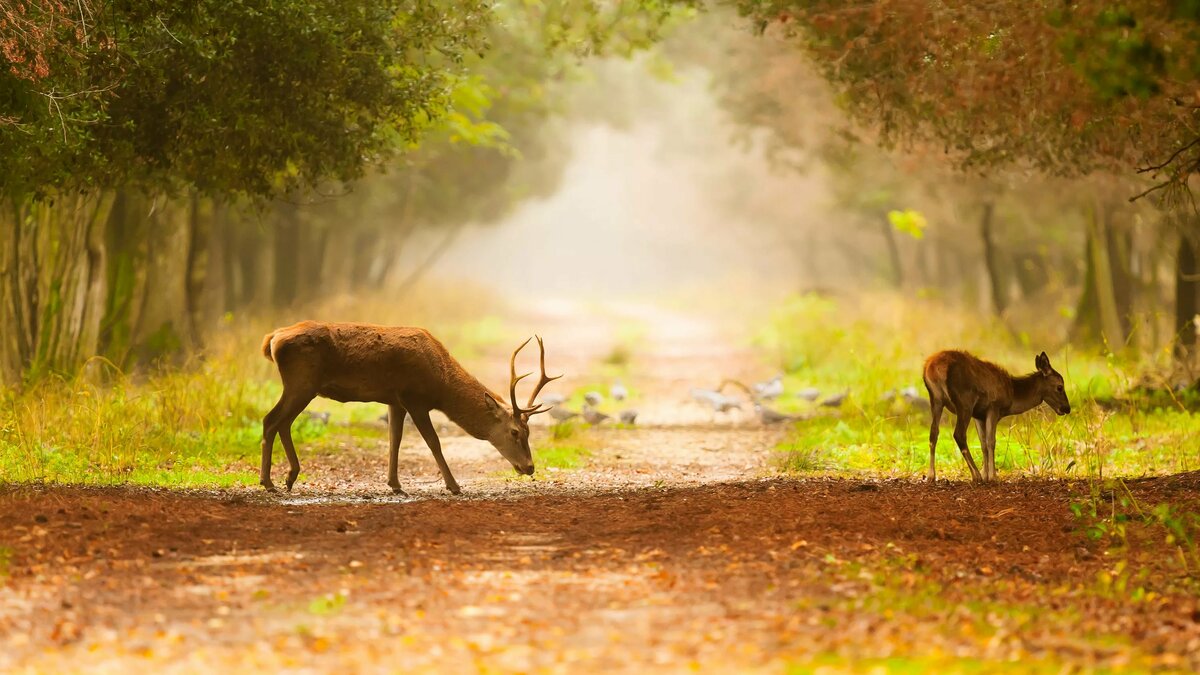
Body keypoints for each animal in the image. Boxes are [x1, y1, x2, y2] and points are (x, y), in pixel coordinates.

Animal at [259, 321, 560, 496]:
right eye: (515, 432)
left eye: (530, 432)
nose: (529, 467)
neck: (441, 384)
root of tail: (272, 338)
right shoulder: (414, 398)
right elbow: (433, 442)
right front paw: (454, 486)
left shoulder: (395, 400)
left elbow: (395, 439)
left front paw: (395, 485)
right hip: (302, 381)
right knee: (271, 420)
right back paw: (269, 482)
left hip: (301, 385)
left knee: (281, 422)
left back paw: (289, 478)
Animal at [924, 350, 1071, 484]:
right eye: (1060, 387)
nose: (1067, 408)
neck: (1012, 394)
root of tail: (933, 368)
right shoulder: (993, 407)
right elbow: (991, 442)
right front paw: (992, 476)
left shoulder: (978, 415)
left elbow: (983, 444)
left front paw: (986, 474)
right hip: (965, 401)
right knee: (959, 434)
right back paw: (975, 475)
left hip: (936, 399)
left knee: (933, 433)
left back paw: (931, 475)